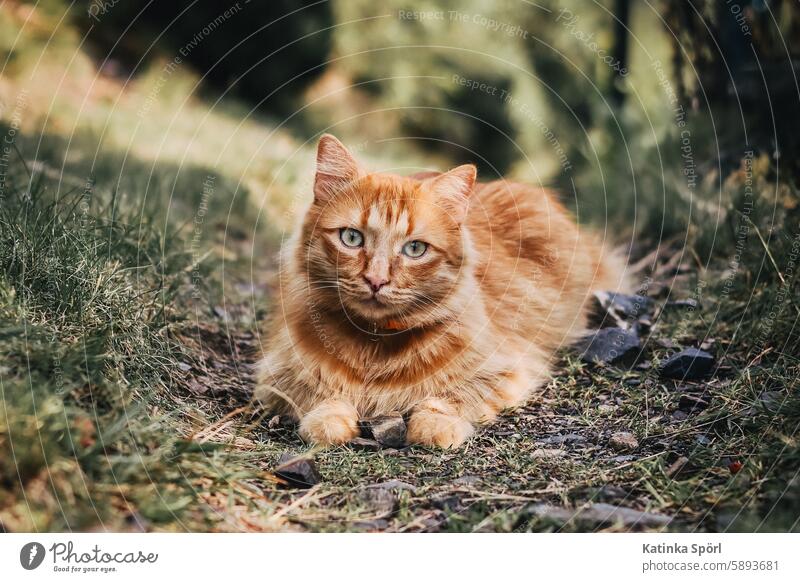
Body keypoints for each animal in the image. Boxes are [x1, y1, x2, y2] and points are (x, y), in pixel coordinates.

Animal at [256, 135, 624, 450]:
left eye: (415, 249)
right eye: (351, 238)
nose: (376, 280)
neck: (375, 345)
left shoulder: (508, 368)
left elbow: (451, 396)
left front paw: (434, 425)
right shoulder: (278, 374)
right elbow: (321, 396)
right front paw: (328, 420)